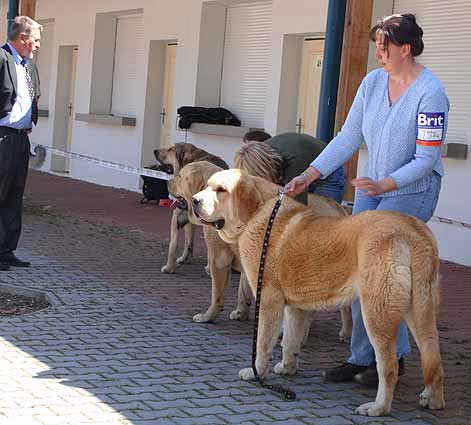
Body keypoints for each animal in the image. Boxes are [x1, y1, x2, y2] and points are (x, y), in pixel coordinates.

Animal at [192, 168, 446, 414]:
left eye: (222, 190)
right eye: (207, 186)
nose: (194, 201)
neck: (258, 212)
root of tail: (413, 232)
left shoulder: (269, 301)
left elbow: (263, 343)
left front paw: (257, 372)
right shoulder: (293, 307)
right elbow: (290, 340)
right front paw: (287, 368)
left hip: (377, 313)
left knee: (389, 367)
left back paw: (378, 407)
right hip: (420, 312)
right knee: (433, 357)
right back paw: (432, 399)